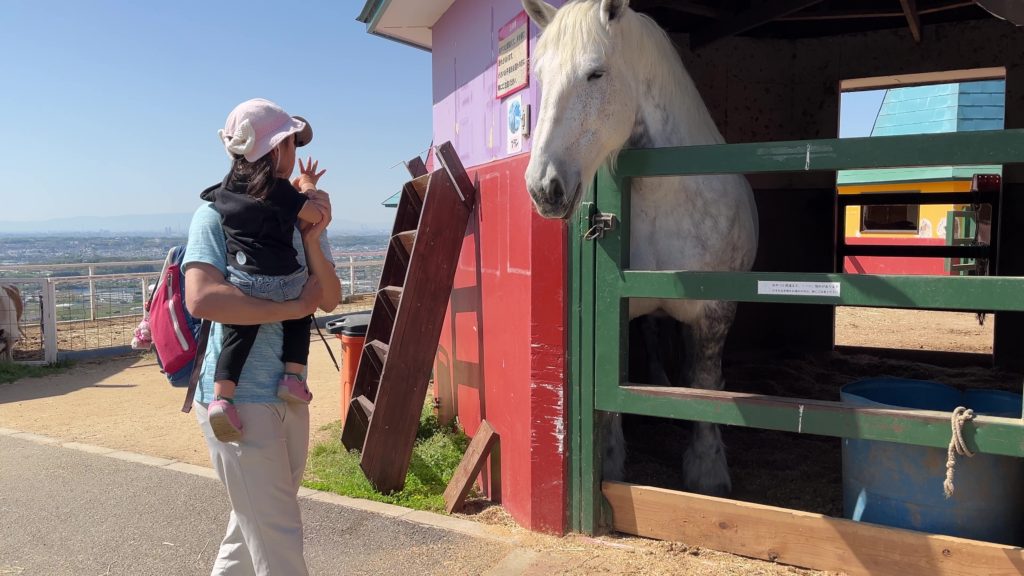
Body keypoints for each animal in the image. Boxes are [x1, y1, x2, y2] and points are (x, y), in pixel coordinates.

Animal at [522, 0, 759, 495]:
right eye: (541, 75)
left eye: (595, 73)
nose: (543, 188)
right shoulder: (619, 305)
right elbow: (615, 381)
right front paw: (611, 461)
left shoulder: (716, 311)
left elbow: (706, 382)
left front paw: (707, 470)